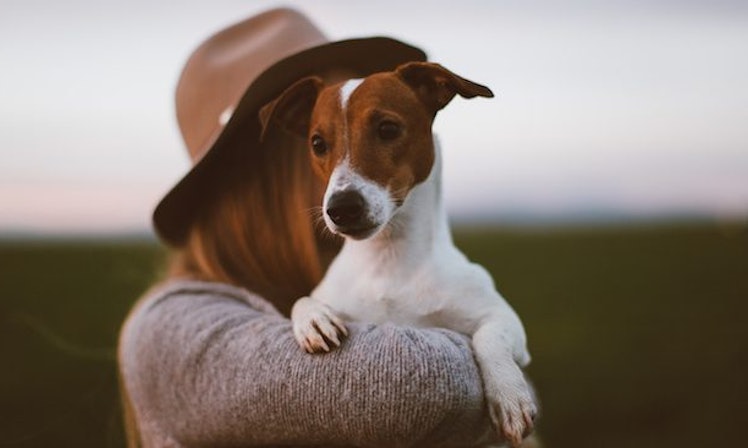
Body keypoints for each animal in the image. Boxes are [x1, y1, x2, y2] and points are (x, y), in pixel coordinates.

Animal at [262, 61, 536, 446]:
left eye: (388, 128)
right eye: (318, 143)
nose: (341, 208)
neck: (388, 259)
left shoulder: (504, 320)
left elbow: (489, 337)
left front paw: (509, 395)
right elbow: (302, 300)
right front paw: (313, 319)